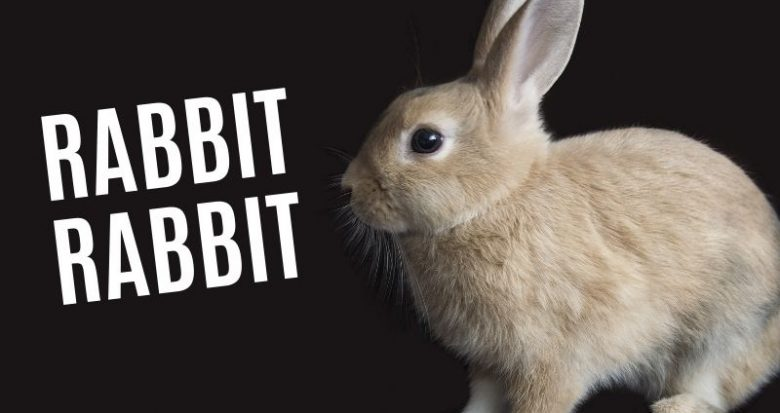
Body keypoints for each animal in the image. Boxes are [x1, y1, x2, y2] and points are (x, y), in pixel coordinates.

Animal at [340, 0, 780, 412]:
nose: (349, 188)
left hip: (717, 338)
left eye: (426, 140)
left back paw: (675, 405)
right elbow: (483, 398)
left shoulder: (554, 360)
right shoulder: (490, 363)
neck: (498, 198)